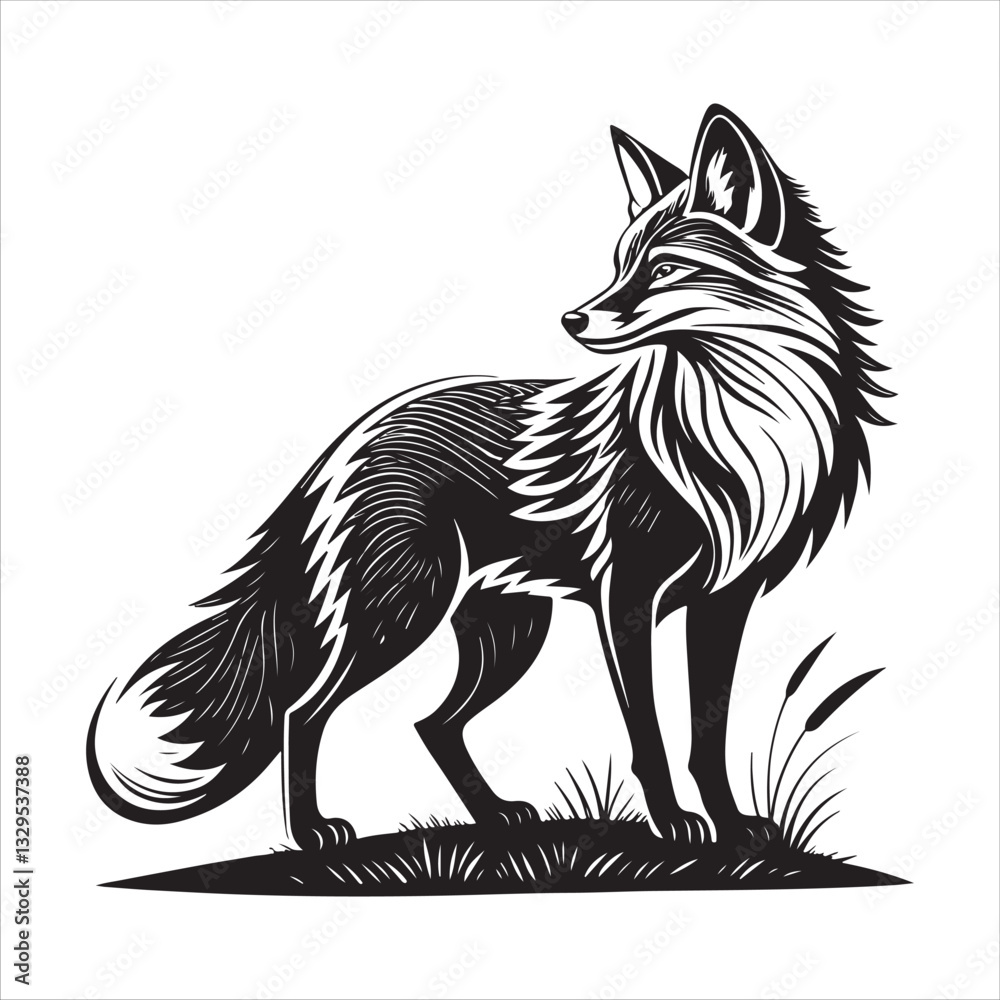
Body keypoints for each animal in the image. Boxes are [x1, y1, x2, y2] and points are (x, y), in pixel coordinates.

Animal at [88, 105, 890, 851]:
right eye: (619, 263)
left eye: (664, 269)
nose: (573, 319)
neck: (738, 426)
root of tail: (353, 438)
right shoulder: (626, 600)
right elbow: (651, 739)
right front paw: (673, 825)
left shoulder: (725, 603)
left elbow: (707, 737)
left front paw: (730, 826)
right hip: (403, 614)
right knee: (304, 710)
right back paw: (314, 829)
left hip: (508, 633)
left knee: (433, 724)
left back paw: (496, 817)